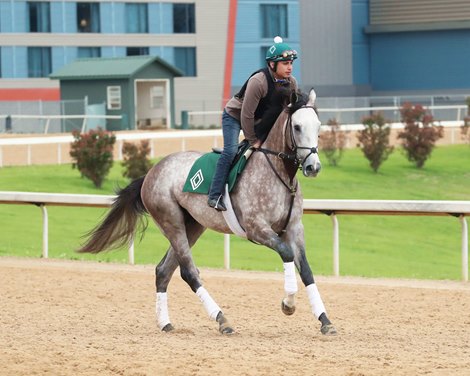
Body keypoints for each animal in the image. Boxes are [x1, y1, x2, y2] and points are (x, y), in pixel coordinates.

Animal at [80, 88, 338, 334]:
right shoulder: (257, 228)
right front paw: (288, 304)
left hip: (193, 226)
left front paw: (325, 320)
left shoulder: (294, 228)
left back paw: (165, 323)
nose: (313, 166)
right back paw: (222, 320)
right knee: (188, 272)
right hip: (171, 222)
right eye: (297, 126)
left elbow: (306, 271)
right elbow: (286, 253)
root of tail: (152, 172)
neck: (278, 173)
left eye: (318, 126)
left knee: (164, 270)